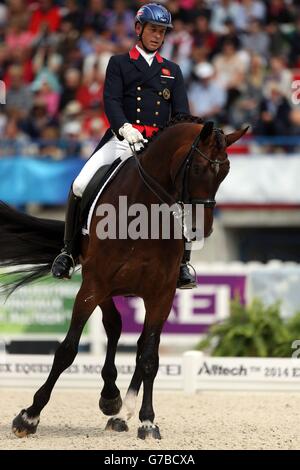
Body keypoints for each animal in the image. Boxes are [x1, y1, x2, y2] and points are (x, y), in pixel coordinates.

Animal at [0, 115, 247, 438]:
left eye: (226, 171)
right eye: (196, 168)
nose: (199, 230)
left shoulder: (161, 294)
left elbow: (149, 357)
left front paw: (147, 421)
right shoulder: (94, 285)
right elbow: (67, 350)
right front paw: (28, 417)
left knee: (137, 341)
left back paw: (120, 410)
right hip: (101, 285)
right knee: (114, 325)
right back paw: (111, 398)